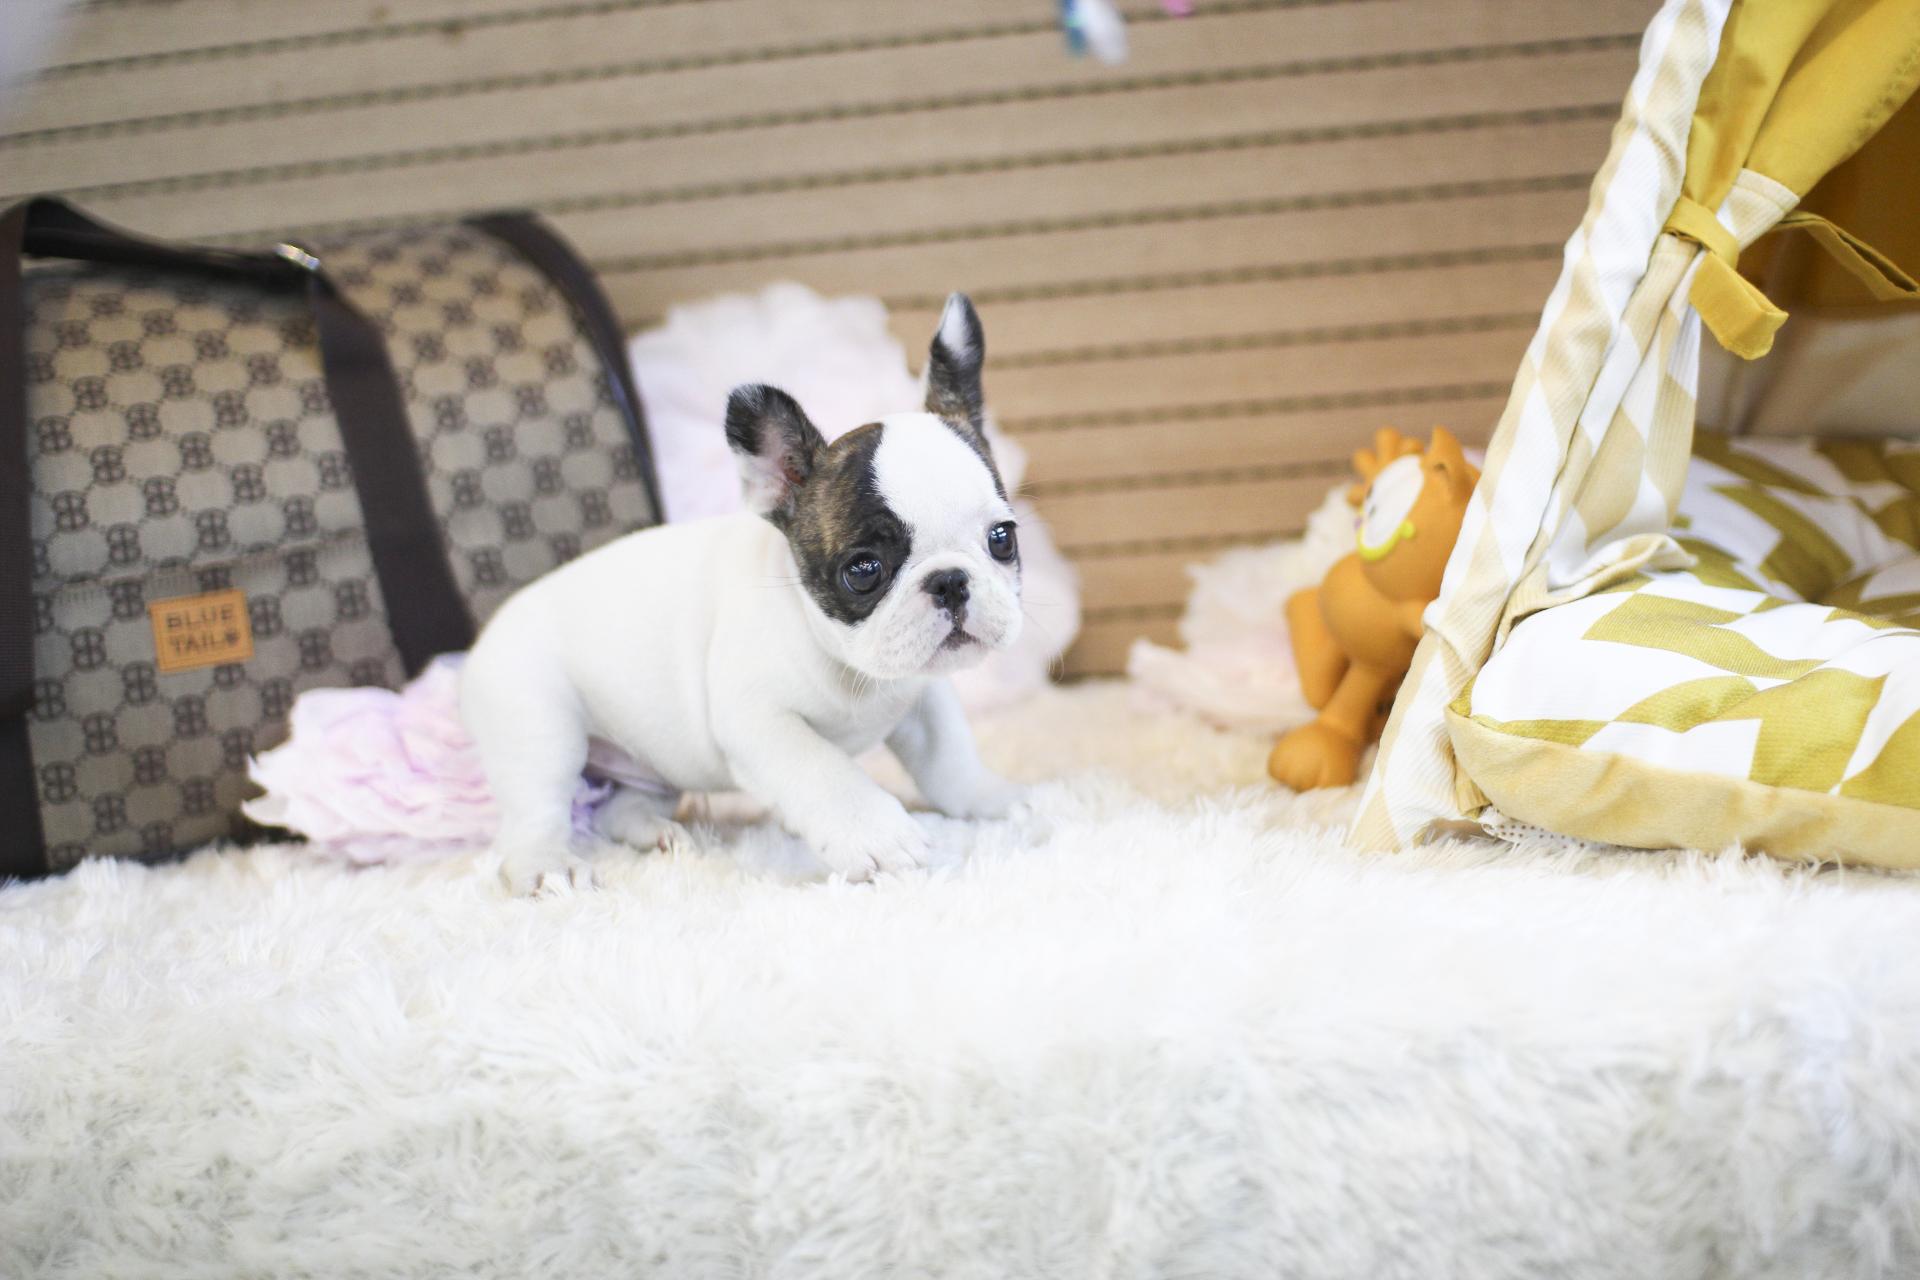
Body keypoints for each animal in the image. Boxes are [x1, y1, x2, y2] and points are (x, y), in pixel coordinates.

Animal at [461, 295, 1026, 893]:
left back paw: (660, 835)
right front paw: (881, 839)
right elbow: (824, 770)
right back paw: (548, 866)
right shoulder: (760, 720)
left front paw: (992, 799)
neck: (850, 667)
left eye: (1002, 539)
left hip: (648, 764)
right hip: (540, 730)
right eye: (864, 570)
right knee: (532, 818)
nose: (950, 581)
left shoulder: (923, 699)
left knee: (622, 805)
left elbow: (949, 756)